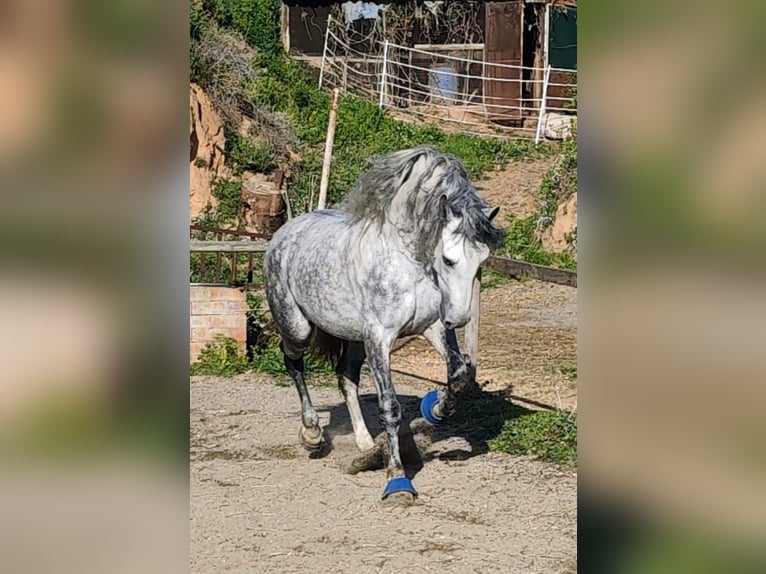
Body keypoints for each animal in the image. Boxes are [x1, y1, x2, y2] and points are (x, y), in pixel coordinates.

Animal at [260, 146, 508, 502]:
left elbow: (459, 375)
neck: (406, 261)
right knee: (292, 361)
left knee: (345, 376)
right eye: (449, 259)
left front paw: (434, 409)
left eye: (482, 261)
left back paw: (364, 444)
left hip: (353, 337)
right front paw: (397, 480)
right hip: (298, 327)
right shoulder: (380, 337)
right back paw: (312, 434)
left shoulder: (431, 327)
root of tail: (286, 231)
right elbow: (389, 407)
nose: (459, 318)